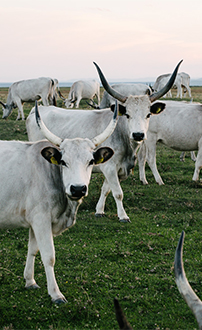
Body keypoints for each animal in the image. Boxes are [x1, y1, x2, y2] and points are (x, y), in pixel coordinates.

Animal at [0, 101, 117, 304]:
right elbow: (49, 256)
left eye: (91, 161)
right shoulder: (41, 219)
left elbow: (33, 250)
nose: (78, 189)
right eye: (63, 162)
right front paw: (55, 293)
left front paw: (30, 281)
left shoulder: (35, 221)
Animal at [26, 60, 182, 223]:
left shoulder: (113, 169)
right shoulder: (110, 168)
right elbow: (118, 192)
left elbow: (106, 189)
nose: (138, 135)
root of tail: (37, 110)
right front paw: (123, 216)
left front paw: (99, 210)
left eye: (148, 114)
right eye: (127, 114)